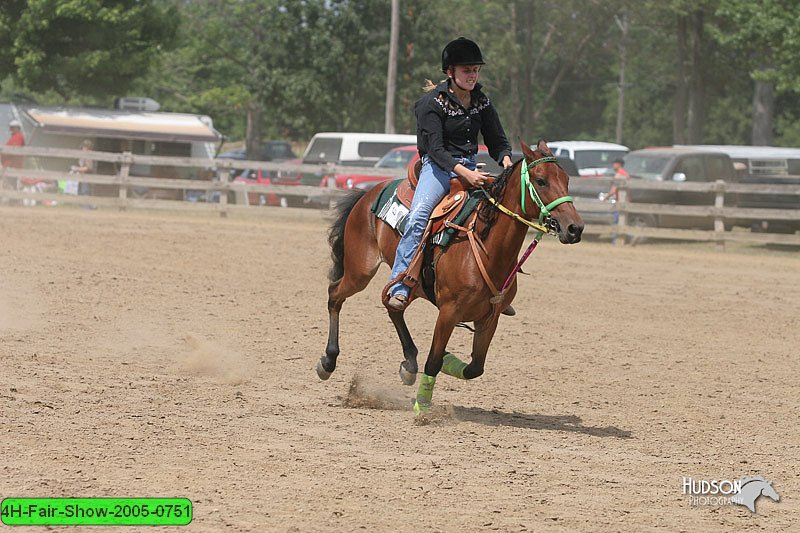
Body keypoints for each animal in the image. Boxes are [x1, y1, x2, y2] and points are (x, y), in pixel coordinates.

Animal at [316, 139, 584, 414]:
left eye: (566, 179)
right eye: (541, 181)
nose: (574, 228)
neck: (486, 245)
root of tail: (368, 193)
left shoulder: (491, 316)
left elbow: (474, 367)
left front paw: (447, 360)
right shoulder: (448, 312)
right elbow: (433, 361)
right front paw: (422, 408)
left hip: (410, 283)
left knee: (393, 306)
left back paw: (409, 363)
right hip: (360, 271)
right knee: (335, 294)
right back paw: (328, 361)